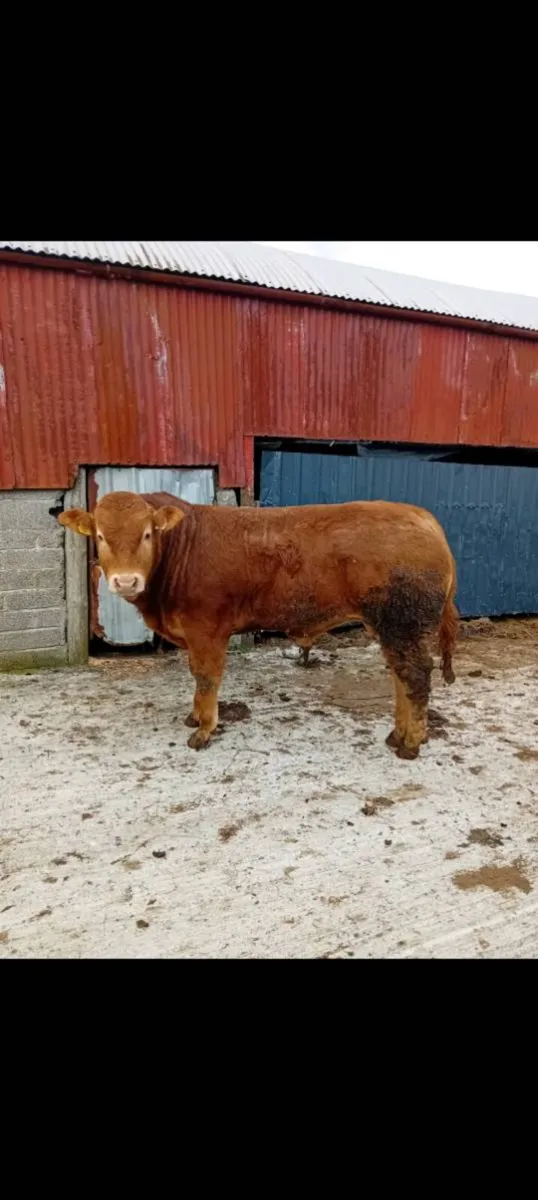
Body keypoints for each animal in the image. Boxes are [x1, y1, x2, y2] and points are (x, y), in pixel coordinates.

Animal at [59, 491, 458, 760]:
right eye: (100, 536)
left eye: (146, 534)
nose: (126, 581)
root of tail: (420, 516)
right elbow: (196, 678)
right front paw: (194, 717)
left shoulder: (206, 630)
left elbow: (206, 678)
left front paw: (204, 730)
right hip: (391, 627)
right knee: (401, 677)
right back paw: (398, 734)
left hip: (403, 624)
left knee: (415, 677)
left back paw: (410, 743)